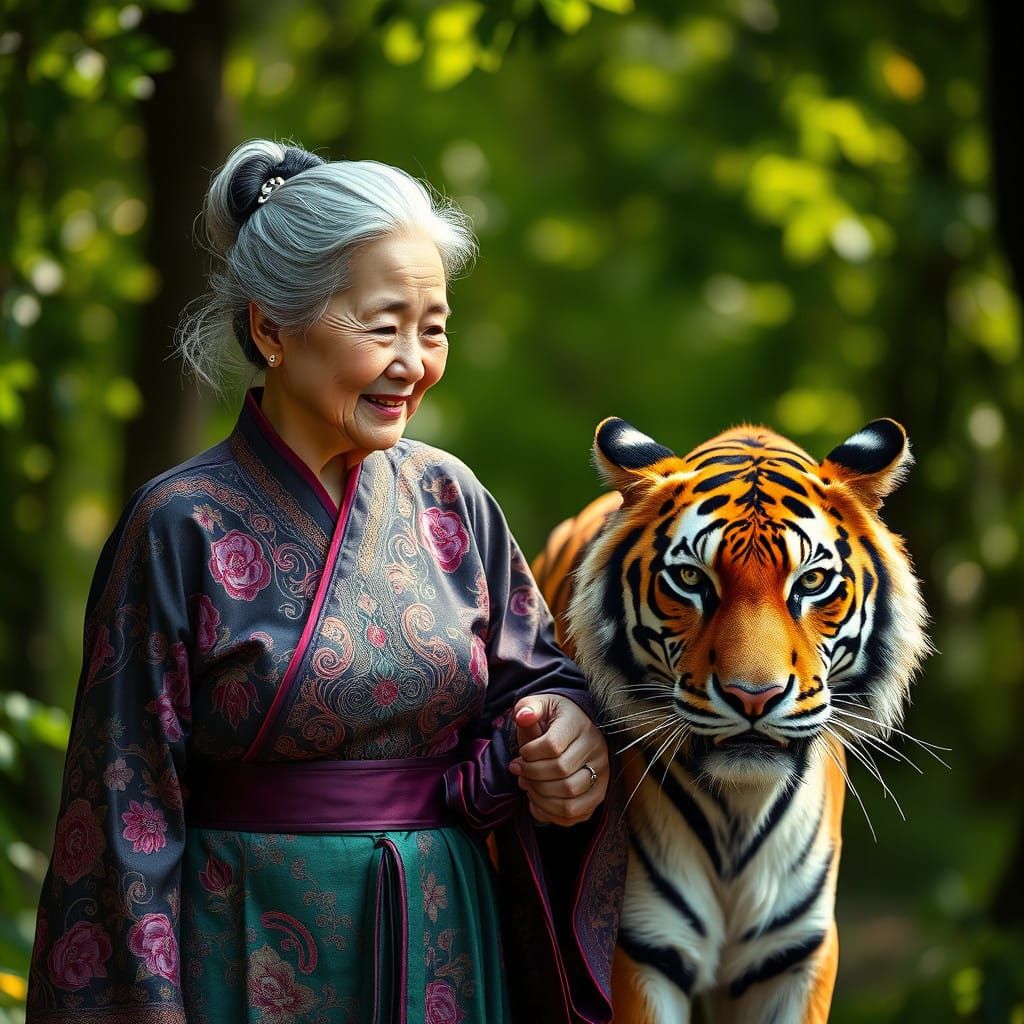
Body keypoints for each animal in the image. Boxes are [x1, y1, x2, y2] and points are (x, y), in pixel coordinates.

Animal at [532, 417, 930, 1023]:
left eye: (810, 583)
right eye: (691, 579)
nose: (753, 697)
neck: (740, 809)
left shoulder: (794, 956)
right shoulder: (641, 949)